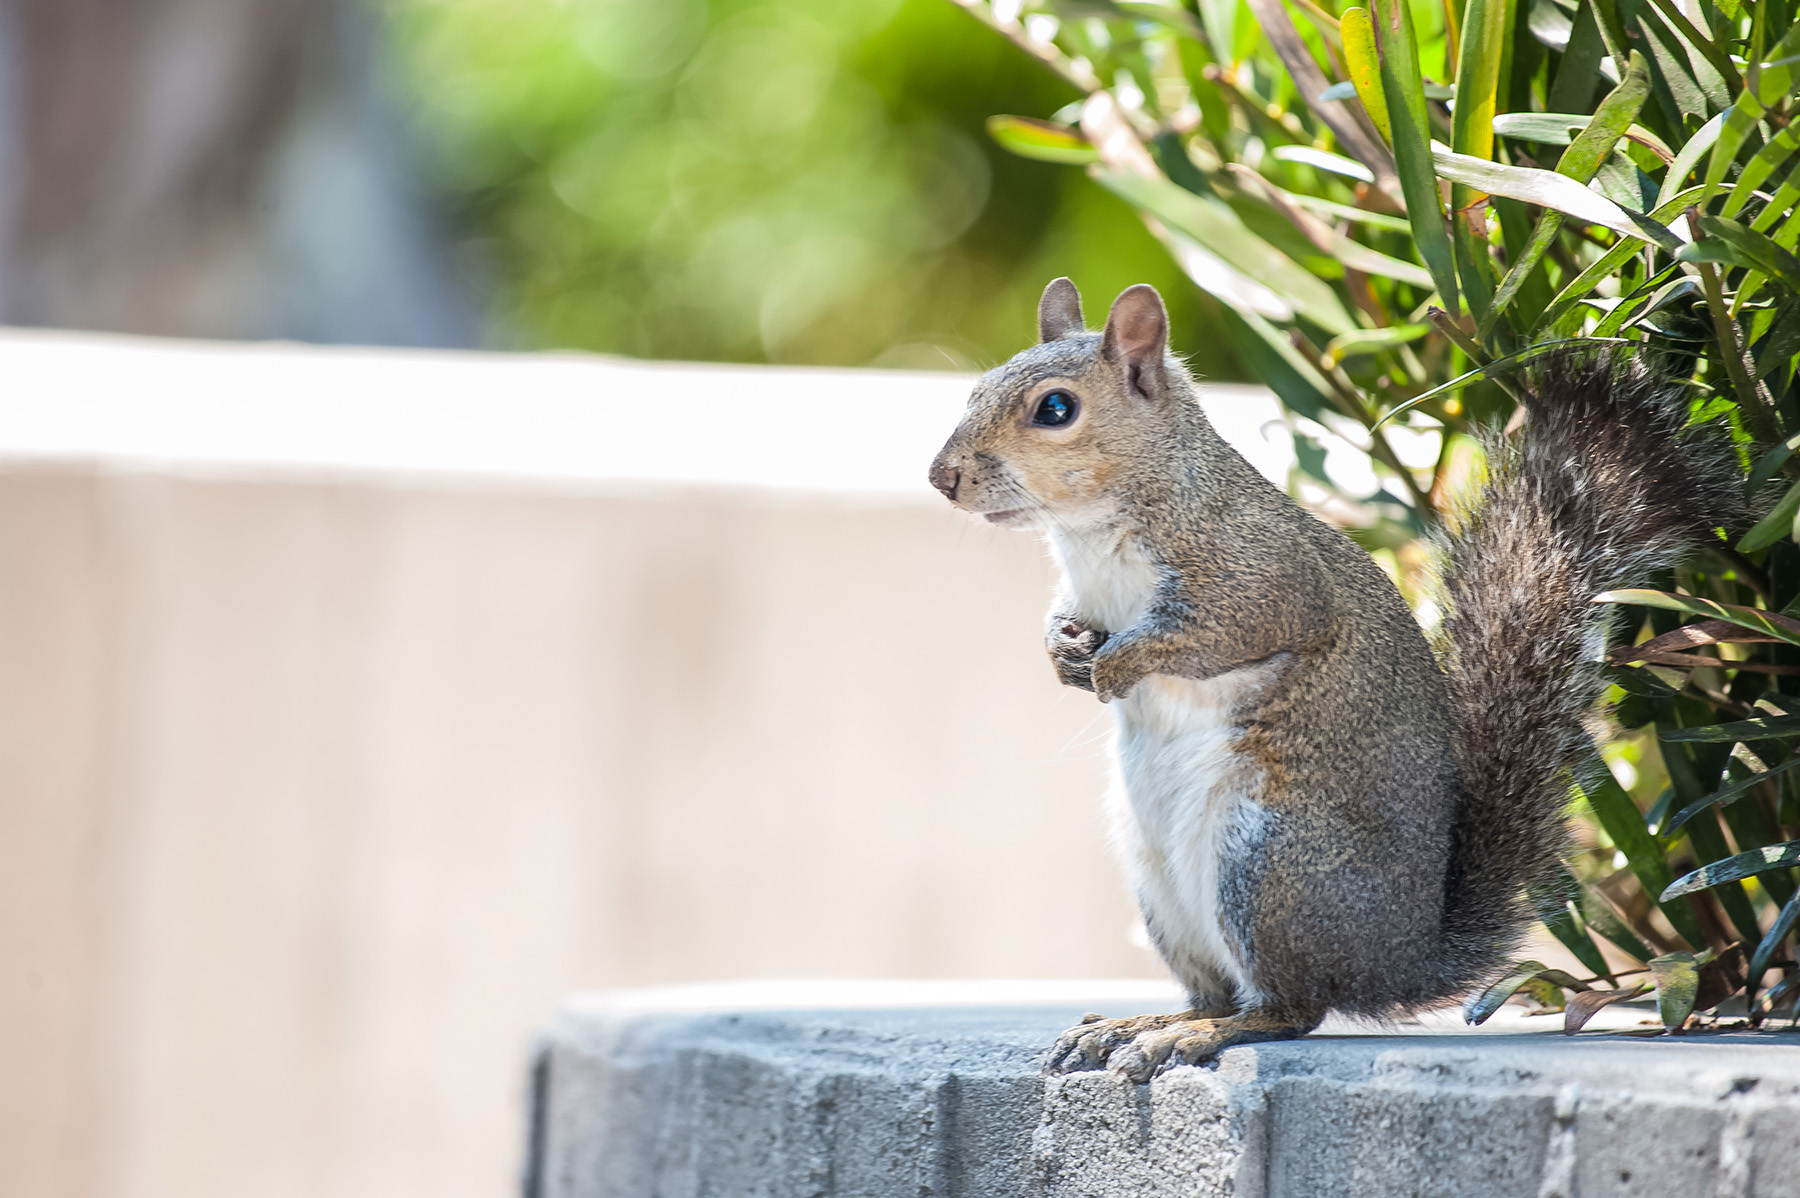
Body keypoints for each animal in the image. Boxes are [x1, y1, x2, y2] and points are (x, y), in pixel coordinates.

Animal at [928, 275, 1742, 1079]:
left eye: (1055, 409)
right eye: (976, 391)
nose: (943, 477)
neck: (1094, 534)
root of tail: (1398, 962)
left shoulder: (1262, 577)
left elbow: (1213, 636)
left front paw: (1117, 663)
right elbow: (1068, 625)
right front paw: (1063, 652)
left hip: (1268, 866)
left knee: (1288, 1009)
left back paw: (1197, 1036)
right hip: (1161, 890)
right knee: (1219, 992)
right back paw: (1147, 1023)